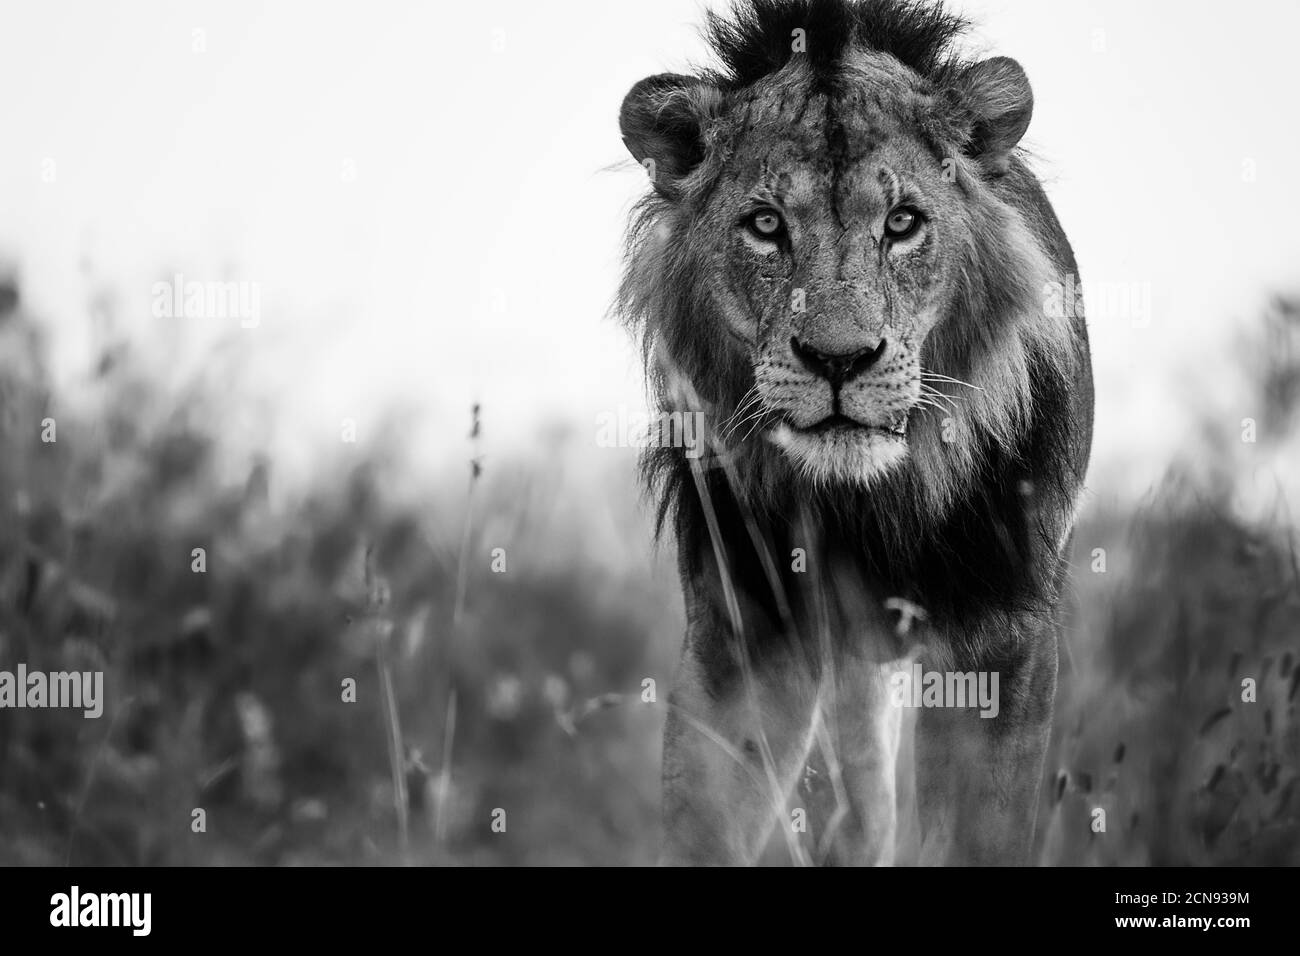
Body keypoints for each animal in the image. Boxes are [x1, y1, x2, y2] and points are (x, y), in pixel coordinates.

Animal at [613, 0, 1092, 868]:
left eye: (902, 223)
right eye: (765, 225)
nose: (838, 359)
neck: (869, 497)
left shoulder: (1003, 636)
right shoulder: (747, 629)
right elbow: (709, 821)